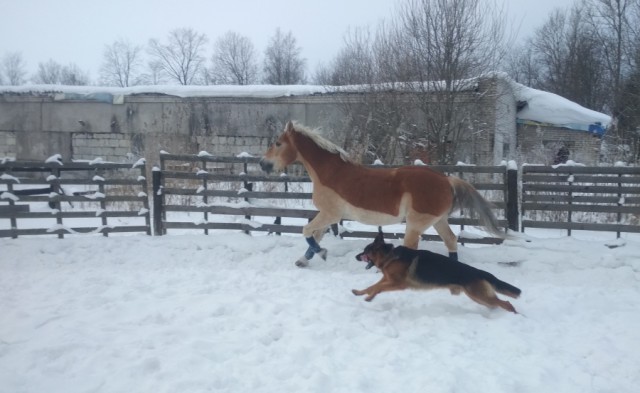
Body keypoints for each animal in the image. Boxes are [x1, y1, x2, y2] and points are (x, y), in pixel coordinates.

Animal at [258, 120, 502, 266]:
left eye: (277, 143)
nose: (262, 164)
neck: (330, 172)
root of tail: (446, 179)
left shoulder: (330, 214)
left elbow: (307, 231)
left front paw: (321, 253)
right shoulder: (330, 217)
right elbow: (315, 235)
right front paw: (304, 260)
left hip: (416, 223)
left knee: (414, 246)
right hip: (438, 220)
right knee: (451, 240)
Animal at [352, 230, 524, 312]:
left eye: (365, 251)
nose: (355, 256)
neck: (390, 256)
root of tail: (480, 272)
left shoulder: (398, 284)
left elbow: (377, 288)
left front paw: (369, 297)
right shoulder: (387, 280)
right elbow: (372, 287)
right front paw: (362, 294)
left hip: (479, 296)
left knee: (507, 303)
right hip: (479, 297)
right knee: (498, 304)